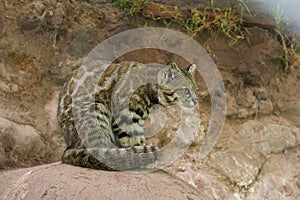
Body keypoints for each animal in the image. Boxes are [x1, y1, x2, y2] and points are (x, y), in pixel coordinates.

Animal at [57, 60, 198, 170]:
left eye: (196, 89)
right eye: (186, 90)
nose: (196, 101)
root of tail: (67, 147)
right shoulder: (125, 116)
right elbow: (133, 139)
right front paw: (141, 158)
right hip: (97, 110)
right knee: (99, 154)